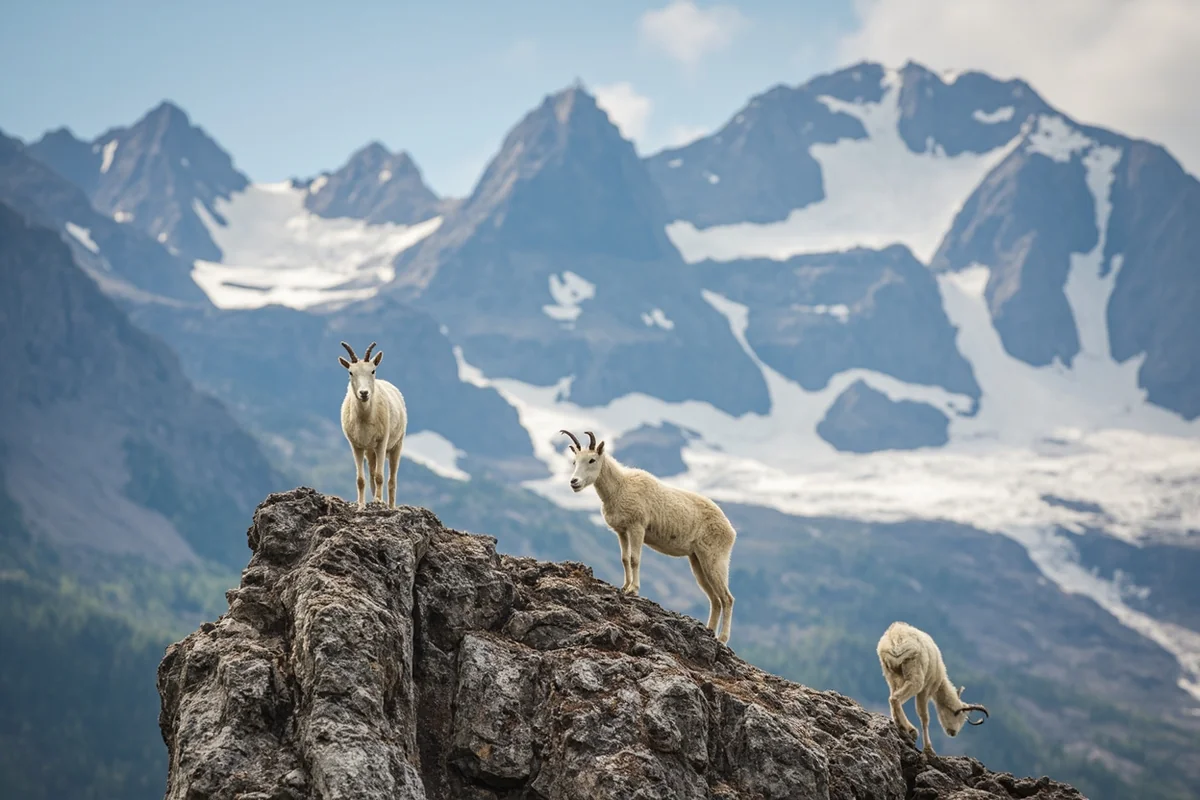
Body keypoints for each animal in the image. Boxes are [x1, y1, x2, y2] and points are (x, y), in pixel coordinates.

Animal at [338, 341, 408, 510]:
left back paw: (390, 506)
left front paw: (377, 501)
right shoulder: (356, 445)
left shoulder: (382, 442)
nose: (364, 393)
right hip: (369, 451)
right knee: (370, 474)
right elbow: (361, 480)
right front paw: (361, 505)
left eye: (372, 370)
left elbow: (380, 476)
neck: (365, 418)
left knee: (391, 479)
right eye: (351, 372)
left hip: (396, 444)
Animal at [560, 429, 737, 644]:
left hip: (715, 558)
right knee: (715, 599)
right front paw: (624, 586)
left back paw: (722, 639)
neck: (619, 487)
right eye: (574, 461)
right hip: (697, 561)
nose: (574, 483)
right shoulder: (622, 531)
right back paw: (710, 631)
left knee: (727, 598)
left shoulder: (637, 527)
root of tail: (730, 531)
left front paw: (633, 589)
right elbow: (624, 559)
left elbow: (635, 559)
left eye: (592, 459)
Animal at [876, 620, 989, 755]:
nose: (953, 733)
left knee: (892, 696)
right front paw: (929, 748)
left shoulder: (897, 681)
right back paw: (911, 730)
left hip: (889, 672)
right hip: (915, 674)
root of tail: (895, 640)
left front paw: (898, 724)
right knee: (895, 698)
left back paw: (903, 726)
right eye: (957, 714)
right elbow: (924, 717)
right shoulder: (926, 689)